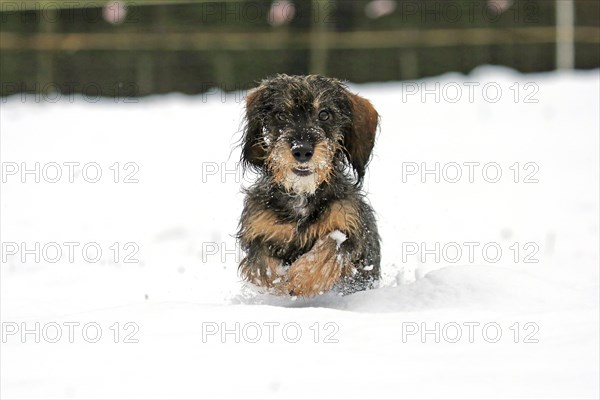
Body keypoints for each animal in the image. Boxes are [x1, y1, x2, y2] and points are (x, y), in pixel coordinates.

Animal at [236, 74, 380, 296]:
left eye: (324, 114)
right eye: (281, 115)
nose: (302, 150)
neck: (302, 195)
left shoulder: (351, 228)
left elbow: (331, 245)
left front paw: (303, 278)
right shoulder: (259, 232)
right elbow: (264, 266)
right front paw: (281, 282)